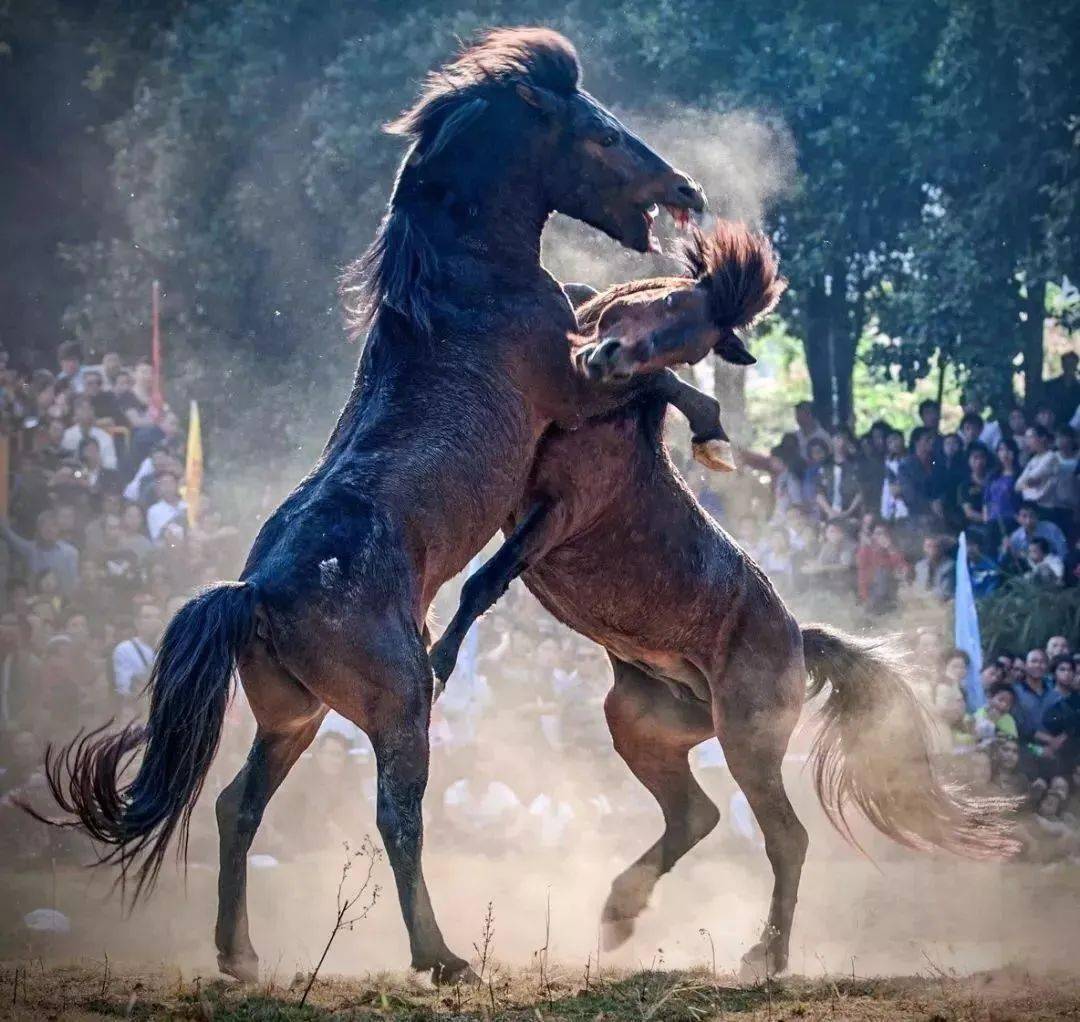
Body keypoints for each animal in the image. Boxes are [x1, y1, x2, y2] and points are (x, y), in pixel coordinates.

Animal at [31, 25, 708, 980]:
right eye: (602, 135)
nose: (686, 189)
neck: (467, 279)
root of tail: (254, 595)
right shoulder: (570, 385)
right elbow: (634, 367)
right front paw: (707, 411)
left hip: (296, 715)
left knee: (237, 804)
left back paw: (240, 953)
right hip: (396, 707)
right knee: (398, 815)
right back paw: (440, 955)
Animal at [427, 221, 1010, 972]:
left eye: (693, 343)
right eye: (671, 301)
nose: (609, 359)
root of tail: (799, 639)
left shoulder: (557, 513)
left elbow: (483, 581)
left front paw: (437, 665)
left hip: (747, 738)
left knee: (785, 836)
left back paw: (765, 954)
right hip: (641, 720)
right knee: (694, 814)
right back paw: (621, 913)